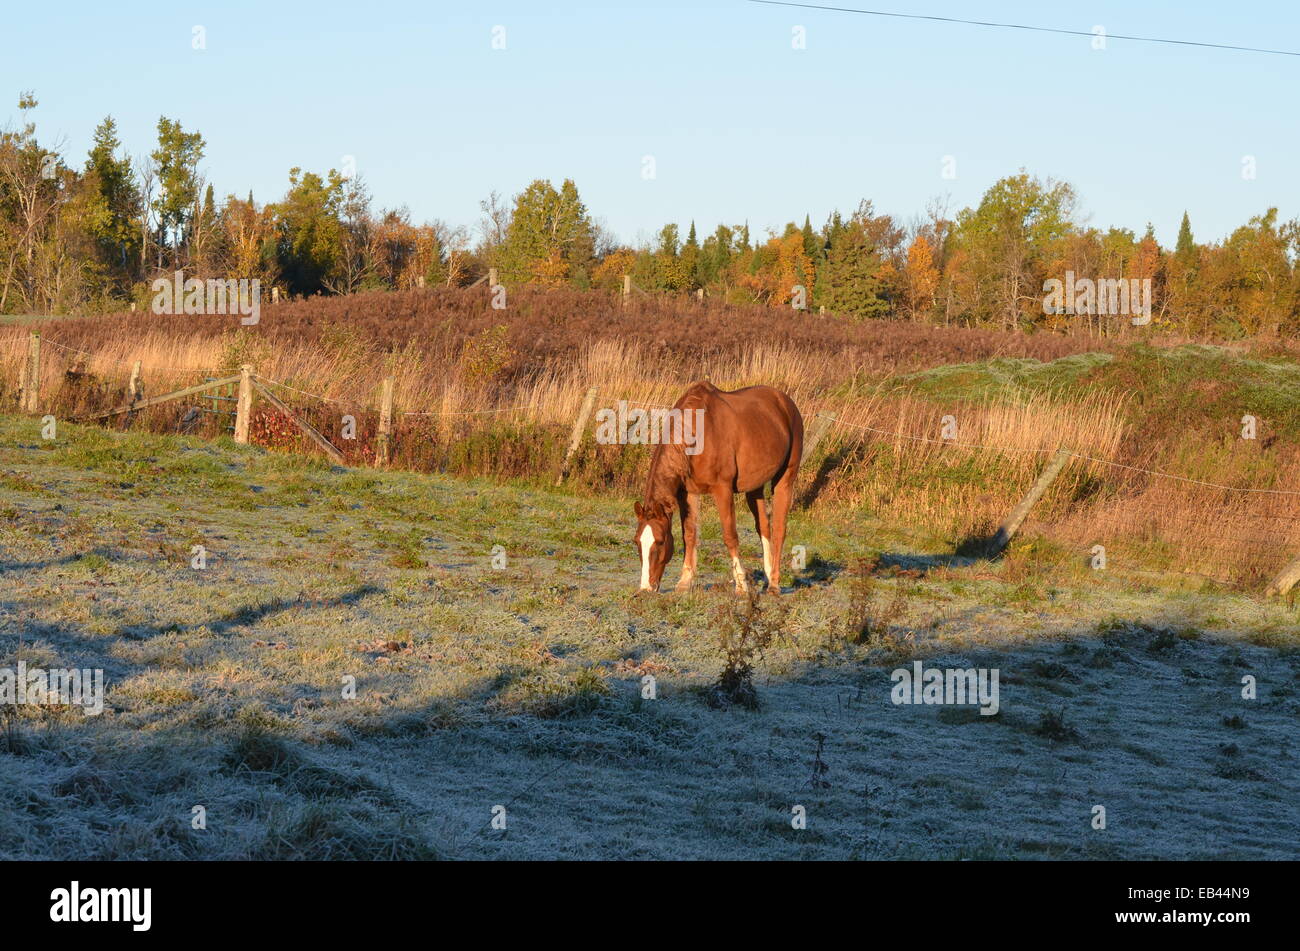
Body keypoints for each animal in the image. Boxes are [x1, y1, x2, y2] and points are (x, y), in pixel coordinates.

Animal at [631, 381, 800, 595]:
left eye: (660, 541)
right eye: (637, 541)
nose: (646, 588)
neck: (698, 433)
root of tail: (785, 401)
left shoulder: (723, 490)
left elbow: (730, 536)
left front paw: (741, 586)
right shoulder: (687, 493)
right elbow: (689, 534)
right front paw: (685, 581)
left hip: (785, 480)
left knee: (779, 529)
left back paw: (774, 584)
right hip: (755, 487)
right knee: (763, 526)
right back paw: (768, 577)